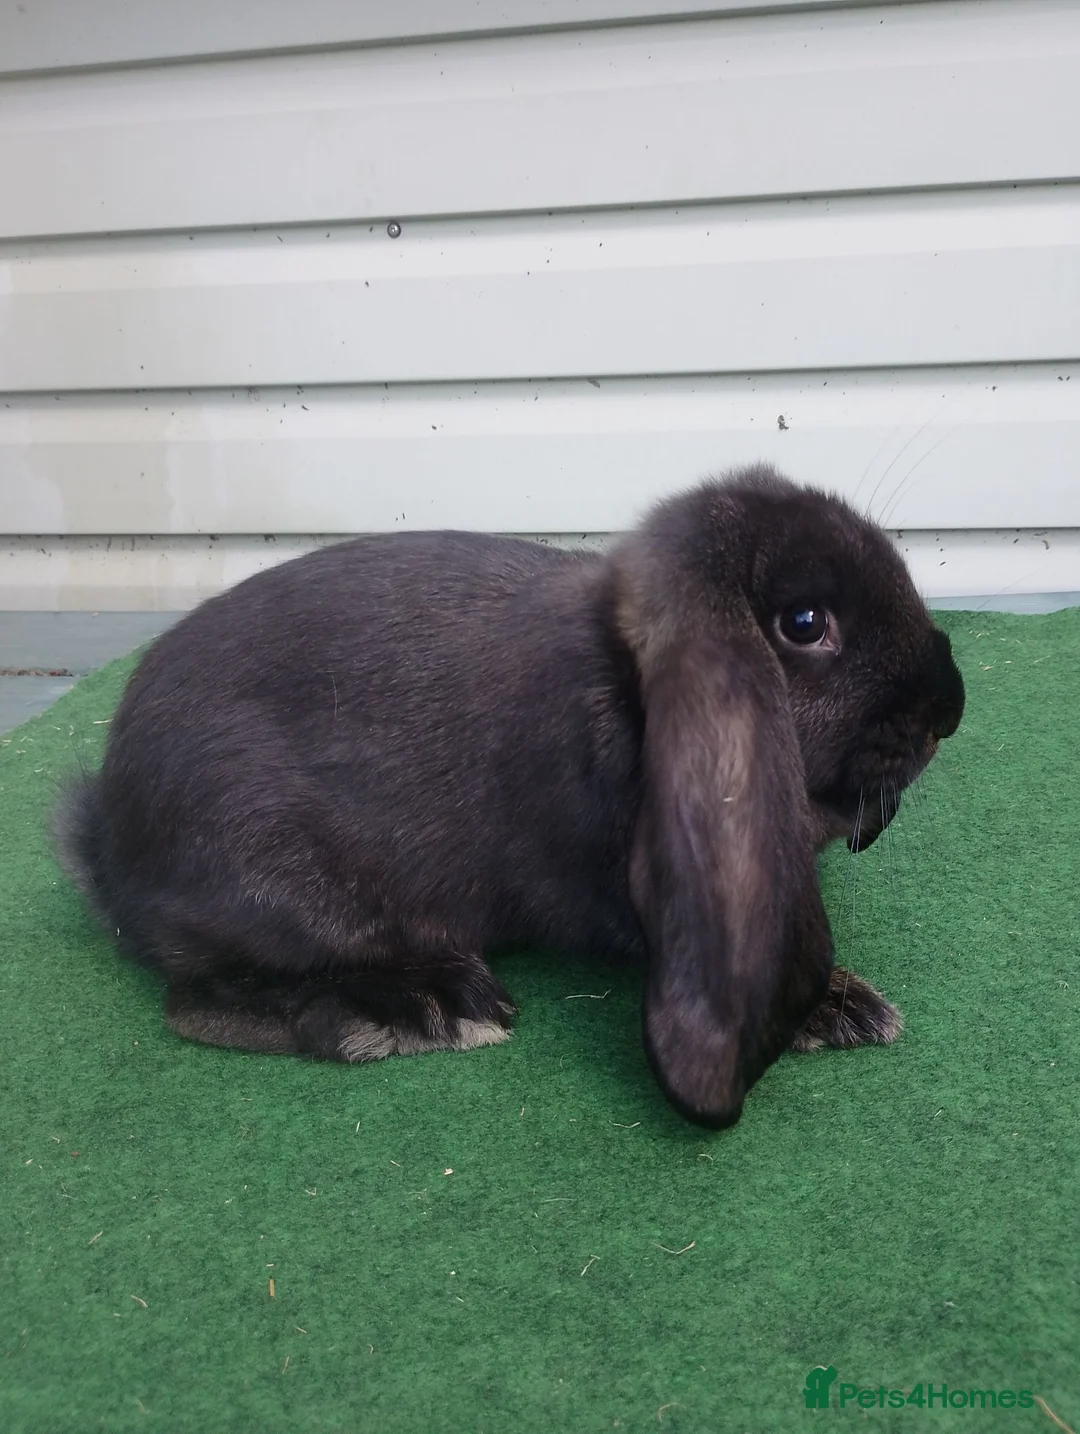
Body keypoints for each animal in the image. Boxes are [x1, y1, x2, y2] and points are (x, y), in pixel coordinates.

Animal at [55, 465, 964, 1128]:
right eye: (805, 623)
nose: (948, 707)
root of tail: (106, 839)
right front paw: (838, 1007)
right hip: (279, 885)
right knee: (198, 1001)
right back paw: (421, 1008)